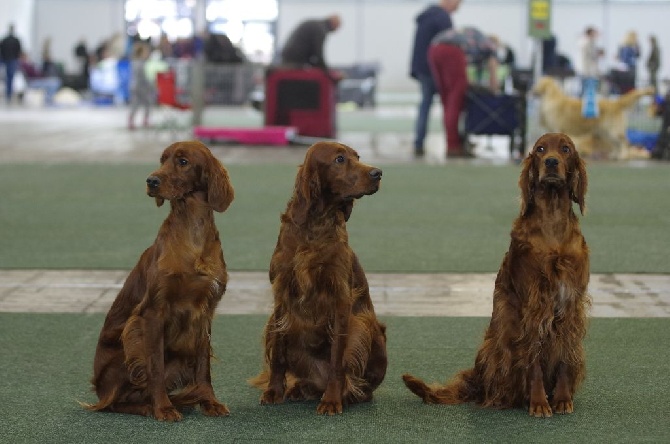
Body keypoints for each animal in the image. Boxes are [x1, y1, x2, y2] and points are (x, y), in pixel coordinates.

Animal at [85, 140, 235, 422]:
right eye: (162, 159)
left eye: (183, 161)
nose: (151, 181)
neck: (192, 229)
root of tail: (99, 388)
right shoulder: (153, 312)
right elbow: (154, 365)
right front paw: (163, 408)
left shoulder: (205, 312)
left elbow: (203, 366)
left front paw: (209, 402)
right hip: (127, 347)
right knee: (114, 402)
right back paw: (148, 406)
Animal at [251, 142, 388, 416]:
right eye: (339, 159)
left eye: (358, 156)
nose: (378, 173)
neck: (315, 225)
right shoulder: (281, 296)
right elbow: (278, 355)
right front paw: (274, 391)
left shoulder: (340, 300)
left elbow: (337, 360)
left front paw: (332, 400)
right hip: (274, 324)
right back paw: (298, 389)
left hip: (362, 325)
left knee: (359, 385)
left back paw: (345, 394)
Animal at [402, 132, 592, 416]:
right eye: (540, 149)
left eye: (566, 149)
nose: (551, 162)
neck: (552, 223)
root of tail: (476, 380)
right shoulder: (533, 305)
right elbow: (533, 360)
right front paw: (539, 403)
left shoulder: (570, 304)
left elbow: (564, 356)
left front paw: (561, 398)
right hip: (500, 342)